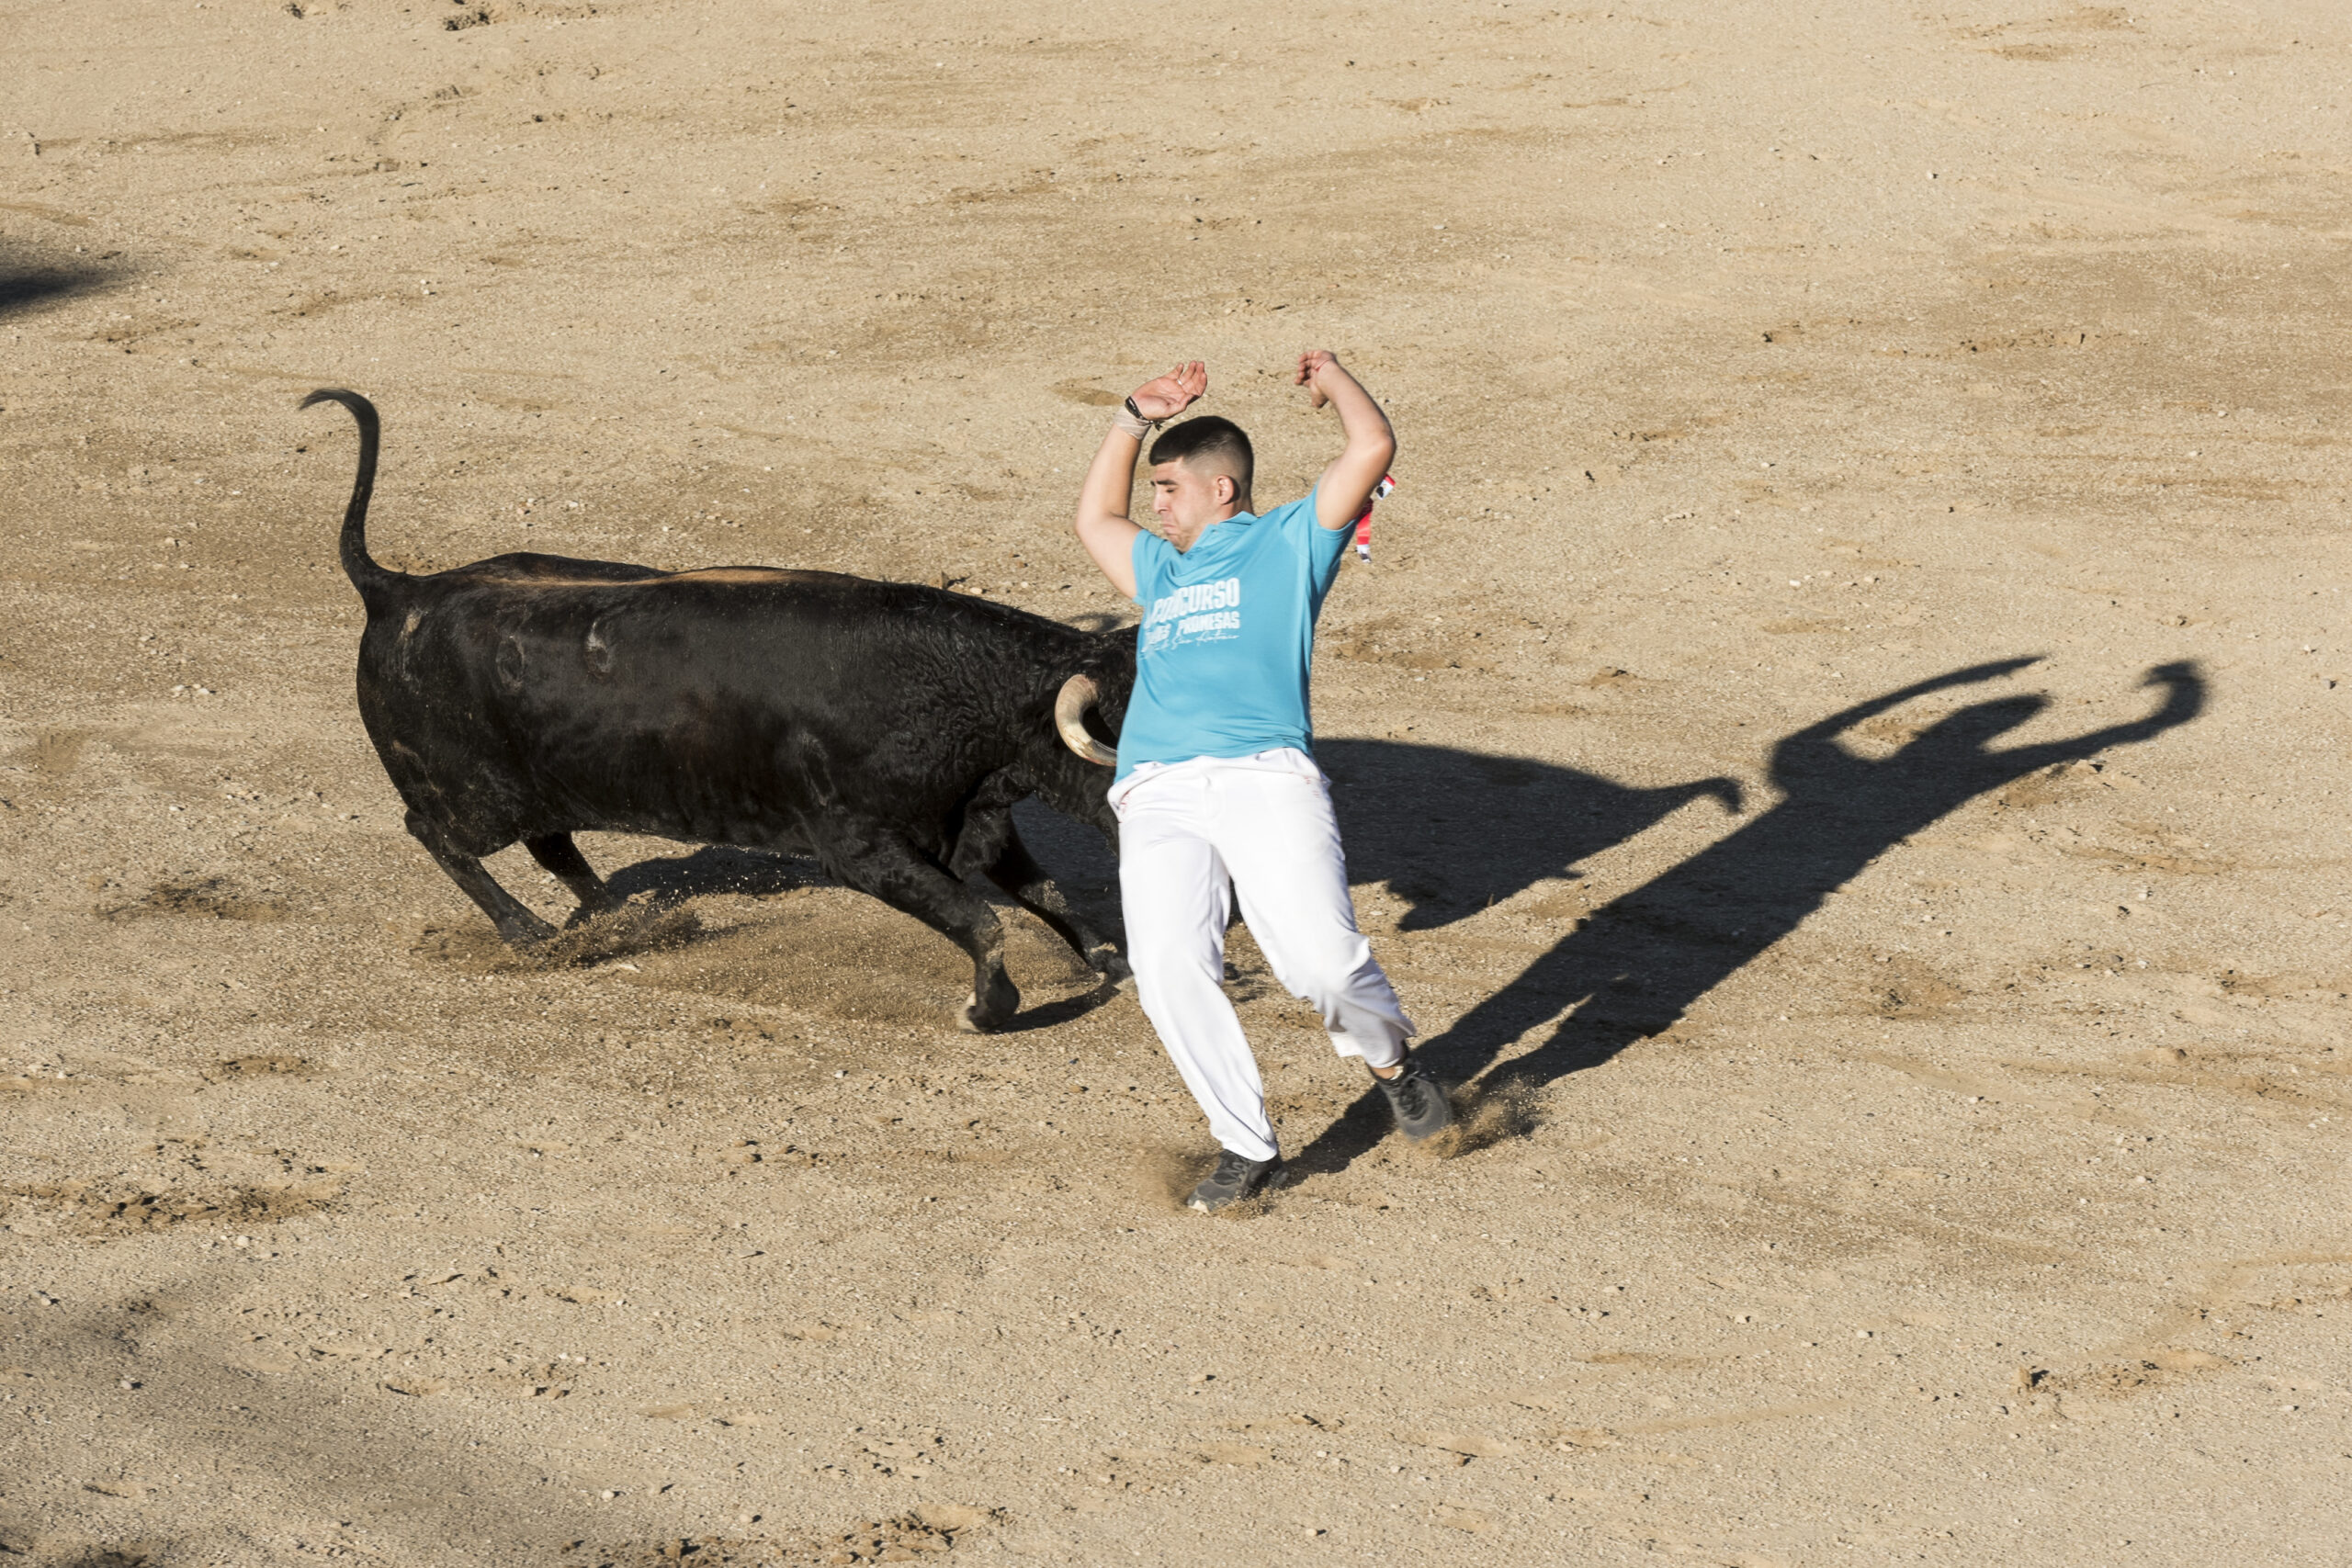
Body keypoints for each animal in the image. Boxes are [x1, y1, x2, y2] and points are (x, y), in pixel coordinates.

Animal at [312, 389, 1138, 1029]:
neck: (952, 691)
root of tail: (400, 590)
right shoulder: (863, 848)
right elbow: (984, 921)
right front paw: (985, 1008)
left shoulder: (981, 825)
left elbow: (1053, 895)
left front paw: (1112, 959)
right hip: (475, 798)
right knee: (437, 832)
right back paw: (531, 933)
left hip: (541, 783)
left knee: (553, 844)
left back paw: (623, 916)